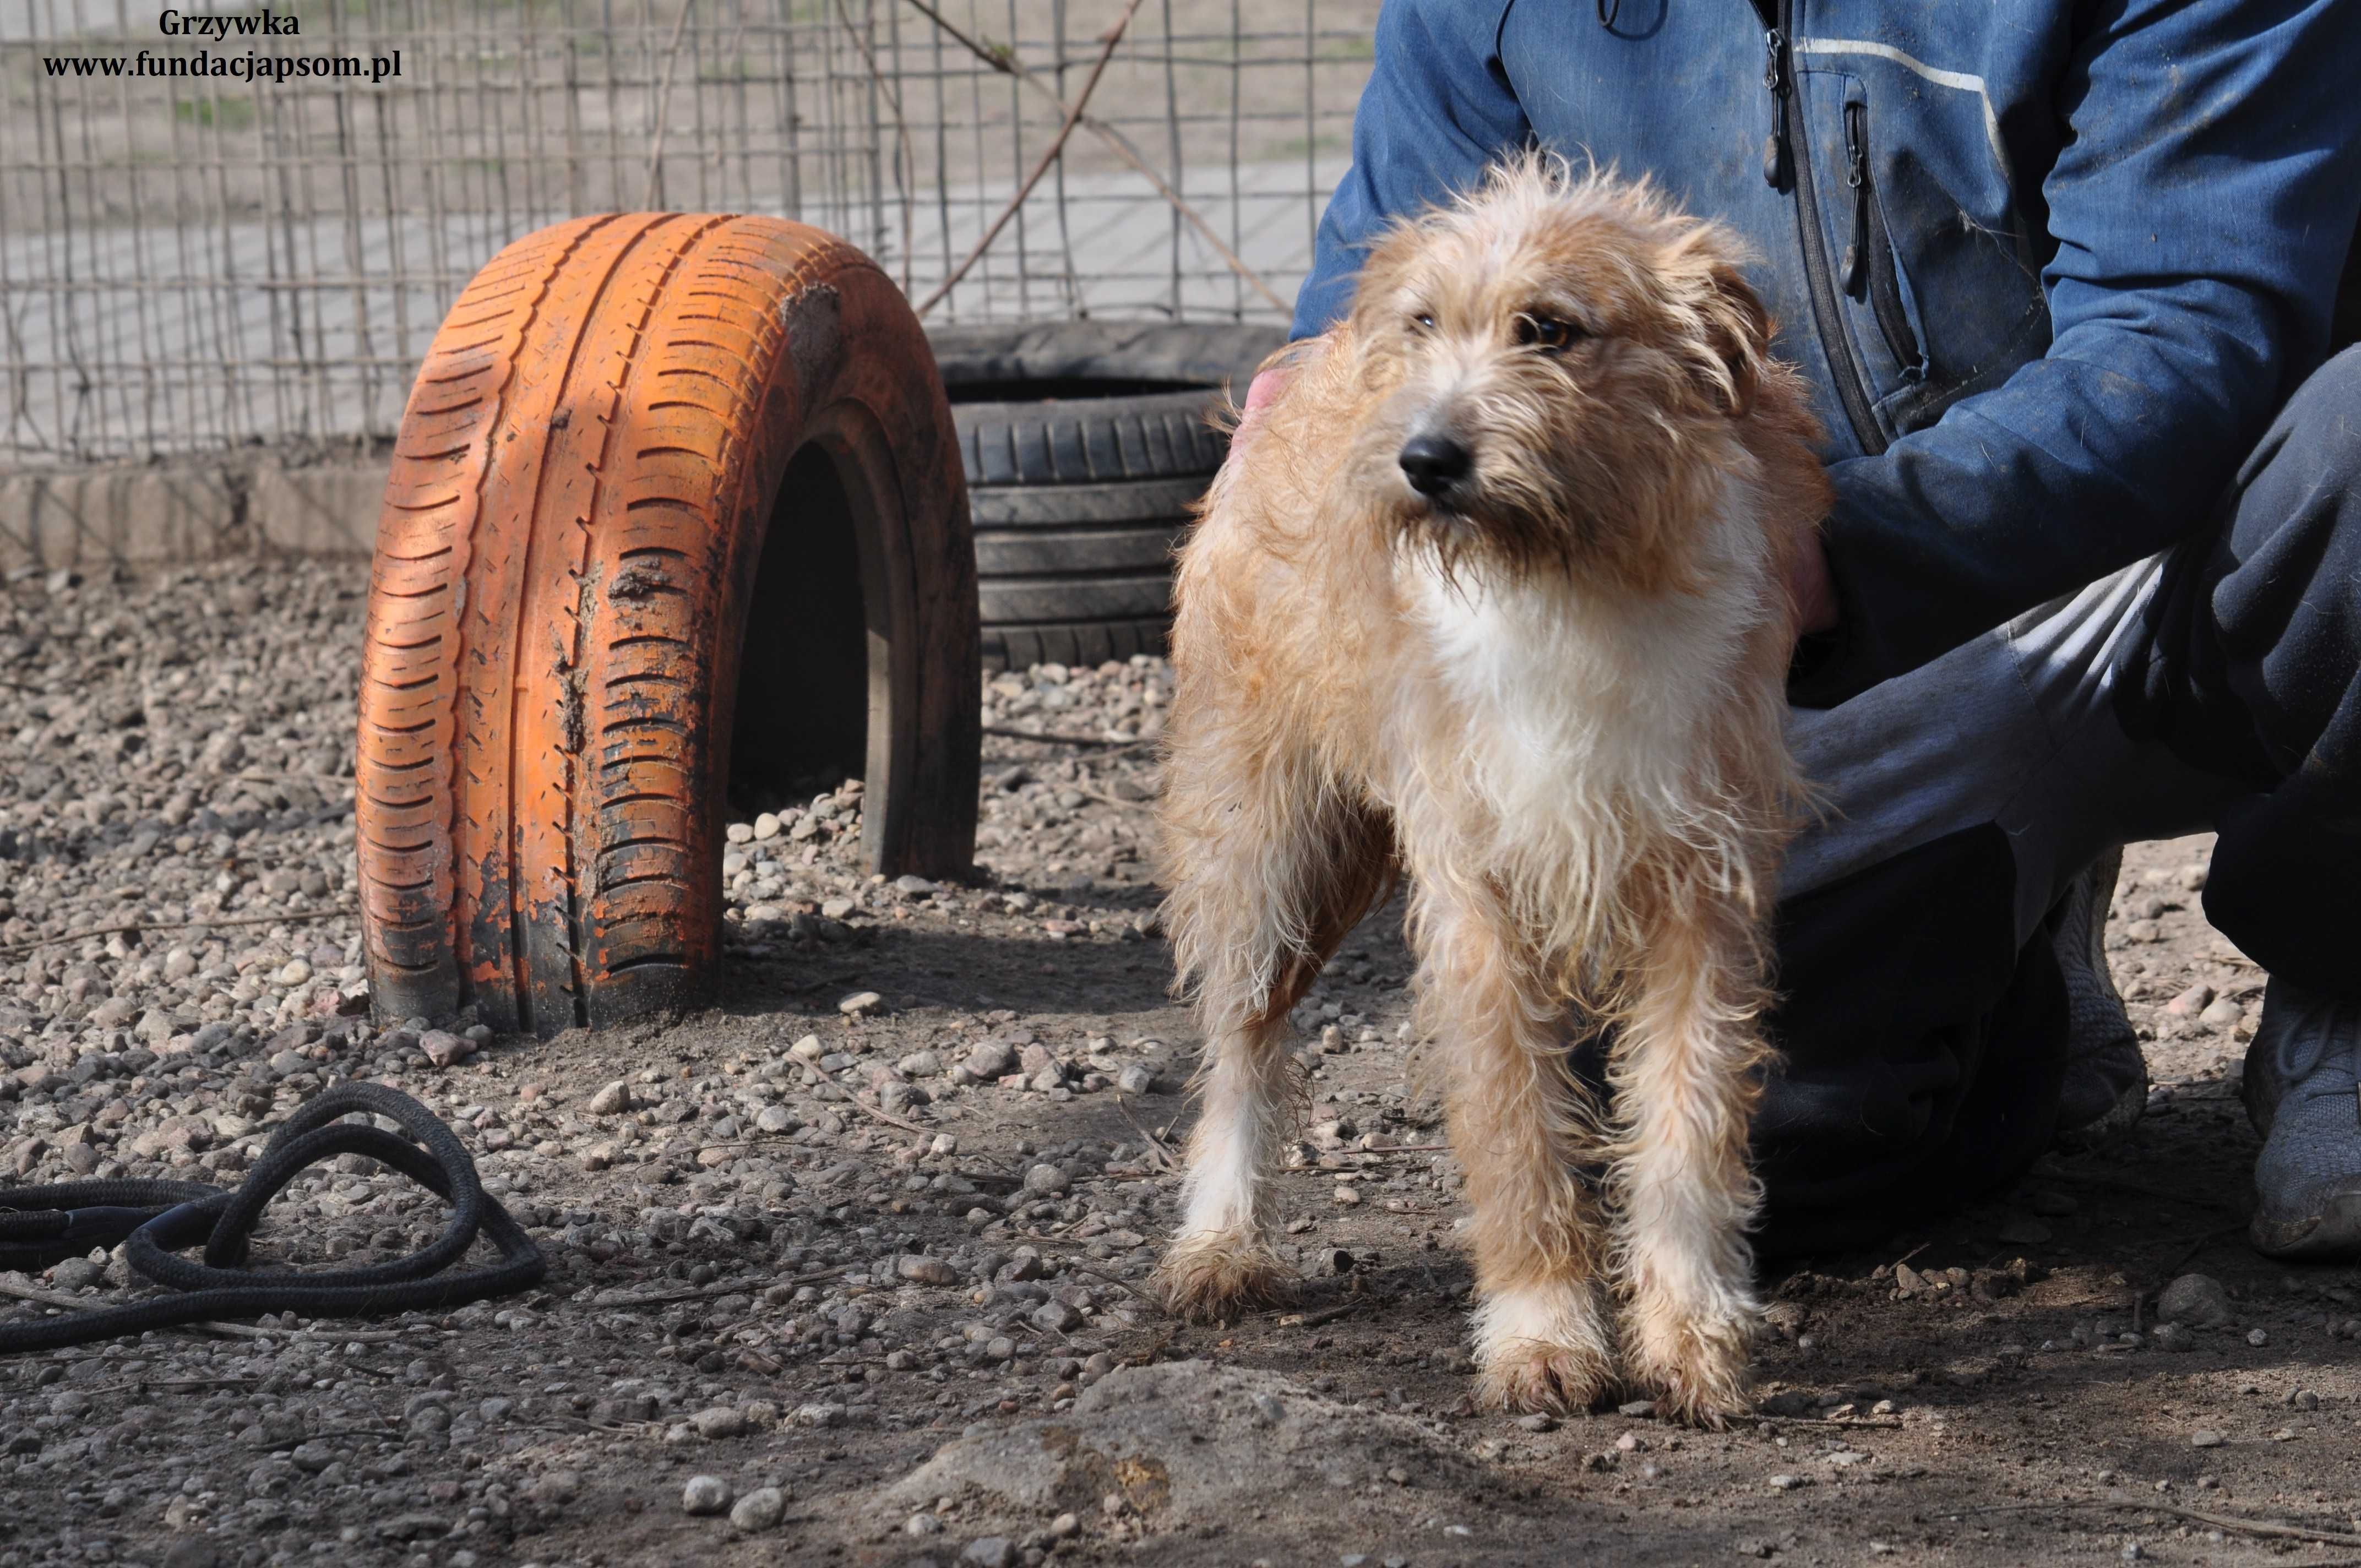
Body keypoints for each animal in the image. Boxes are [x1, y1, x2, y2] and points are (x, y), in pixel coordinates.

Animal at [1152, 156, 1832, 1417]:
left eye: (1548, 329)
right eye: (1425, 325)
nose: (1424, 460)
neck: (1564, 573)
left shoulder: (1701, 887)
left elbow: (1689, 1115)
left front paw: (1688, 1328)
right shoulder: (1477, 894)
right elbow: (1515, 1127)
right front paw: (1541, 1332)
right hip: (1266, 844)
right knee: (1239, 1044)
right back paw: (1217, 1238)